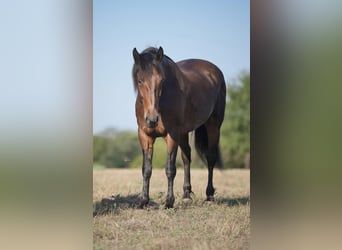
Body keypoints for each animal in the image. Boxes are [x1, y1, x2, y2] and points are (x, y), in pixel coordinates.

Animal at [132, 47, 226, 209]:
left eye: (162, 80)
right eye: (139, 81)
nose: (152, 119)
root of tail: (214, 71)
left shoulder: (172, 135)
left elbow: (170, 169)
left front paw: (169, 201)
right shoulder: (145, 136)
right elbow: (146, 169)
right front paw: (143, 200)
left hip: (213, 127)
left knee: (210, 158)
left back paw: (209, 195)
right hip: (184, 133)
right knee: (186, 156)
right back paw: (186, 194)